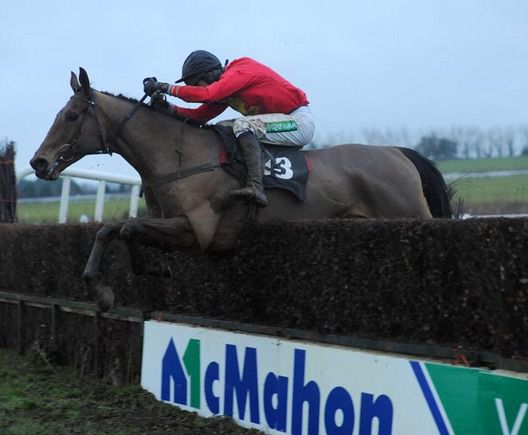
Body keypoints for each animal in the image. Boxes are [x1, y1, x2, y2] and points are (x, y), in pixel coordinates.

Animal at [29, 68, 450, 312]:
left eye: (71, 115)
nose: (38, 162)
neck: (179, 157)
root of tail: (398, 153)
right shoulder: (166, 221)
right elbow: (110, 229)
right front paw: (107, 287)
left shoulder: (197, 231)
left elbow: (129, 228)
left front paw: (139, 272)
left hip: (409, 212)